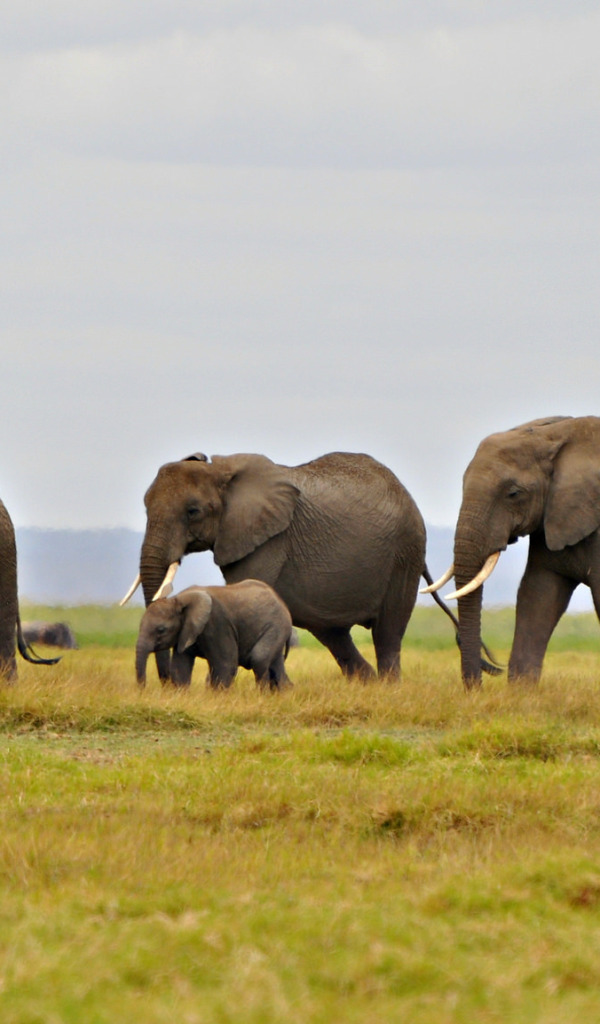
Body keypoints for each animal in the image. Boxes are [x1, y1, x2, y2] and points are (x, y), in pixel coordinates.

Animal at [120, 450, 458, 679]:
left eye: (193, 511)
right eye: (146, 506)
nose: (166, 683)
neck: (222, 473)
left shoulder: (270, 539)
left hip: (405, 553)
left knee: (388, 633)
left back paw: (388, 688)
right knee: (336, 637)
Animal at [136, 581, 294, 692]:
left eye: (161, 630)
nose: (143, 690)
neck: (178, 599)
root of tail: (282, 603)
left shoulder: (217, 624)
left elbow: (225, 665)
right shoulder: (186, 632)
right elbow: (180, 667)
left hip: (277, 626)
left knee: (259, 658)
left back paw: (264, 695)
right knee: (275, 665)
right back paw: (284, 694)